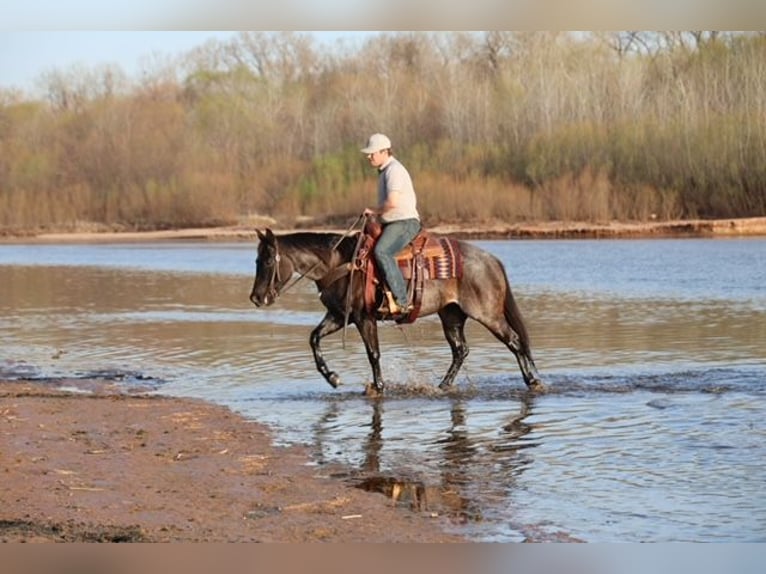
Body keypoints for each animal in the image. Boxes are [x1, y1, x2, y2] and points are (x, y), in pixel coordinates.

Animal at [249, 227, 544, 394]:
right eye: (256, 259)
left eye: (267, 260)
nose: (256, 297)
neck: (341, 264)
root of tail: (491, 260)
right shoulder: (338, 316)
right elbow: (314, 338)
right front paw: (332, 378)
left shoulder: (363, 318)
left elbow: (373, 354)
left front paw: (378, 387)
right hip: (451, 315)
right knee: (461, 350)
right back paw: (442, 386)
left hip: (488, 315)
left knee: (514, 341)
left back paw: (533, 381)